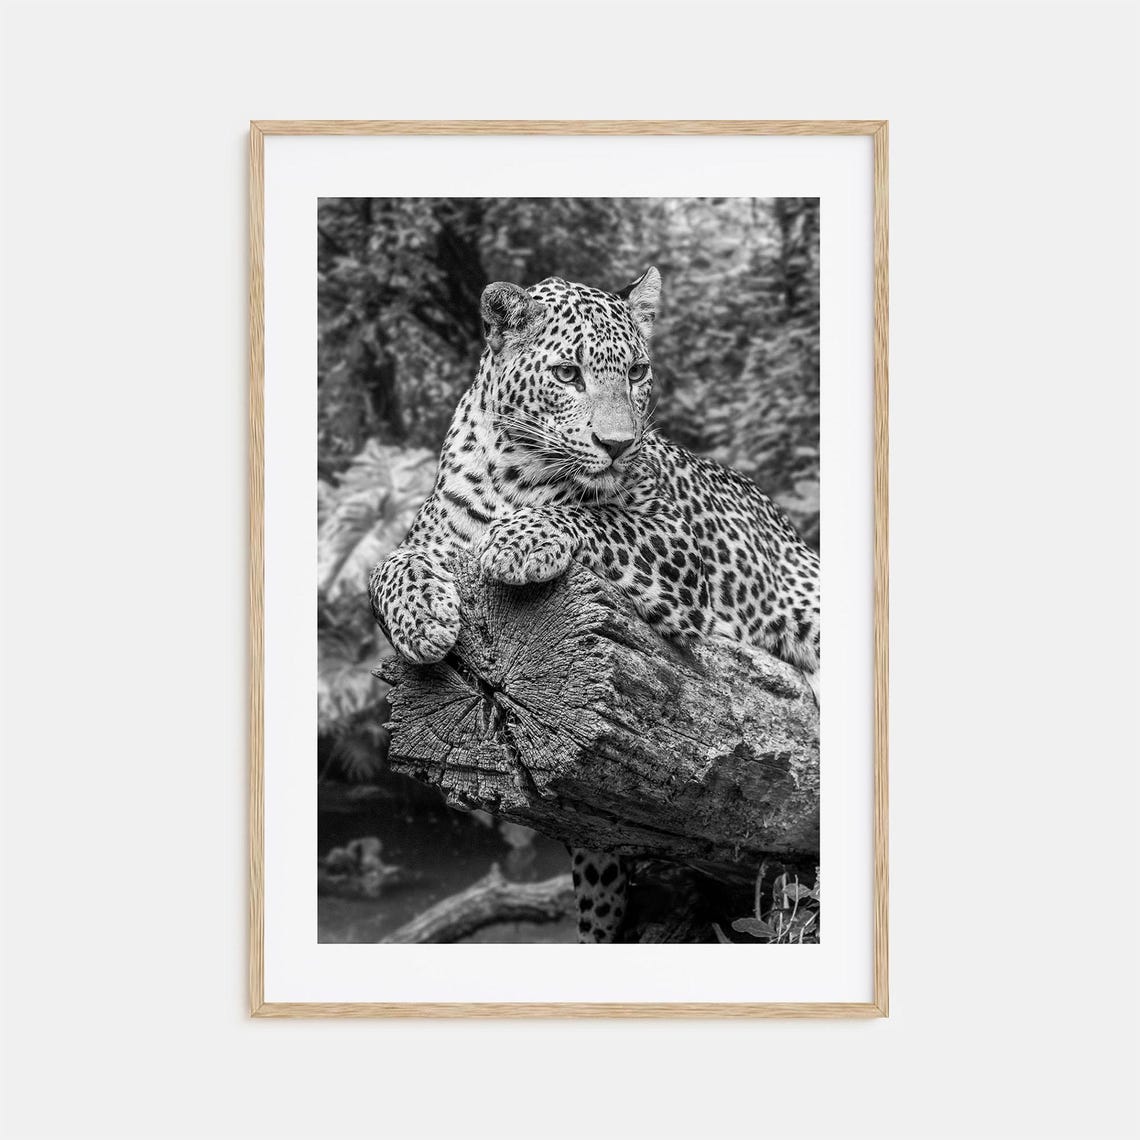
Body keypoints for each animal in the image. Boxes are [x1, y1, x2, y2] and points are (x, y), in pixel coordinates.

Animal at [370, 267, 820, 943]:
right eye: (567, 375)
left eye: (636, 371)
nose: (617, 444)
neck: (517, 474)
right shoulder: (428, 538)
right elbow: (387, 567)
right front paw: (422, 619)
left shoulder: (672, 541)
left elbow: (596, 517)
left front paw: (517, 541)